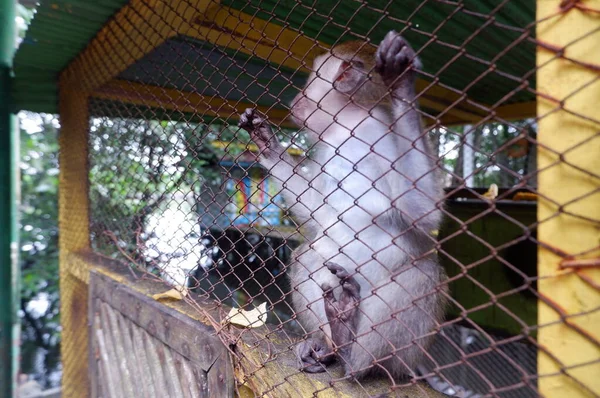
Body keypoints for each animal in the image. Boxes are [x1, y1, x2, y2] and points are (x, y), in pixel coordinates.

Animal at [237, 31, 448, 380]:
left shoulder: (381, 134)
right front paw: (268, 145)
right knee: (310, 256)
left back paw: (353, 354)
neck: (348, 127)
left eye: (312, 77)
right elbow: (317, 211)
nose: (297, 97)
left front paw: (401, 86)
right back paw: (330, 341)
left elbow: (422, 212)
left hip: (404, 353)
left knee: (423, 274)